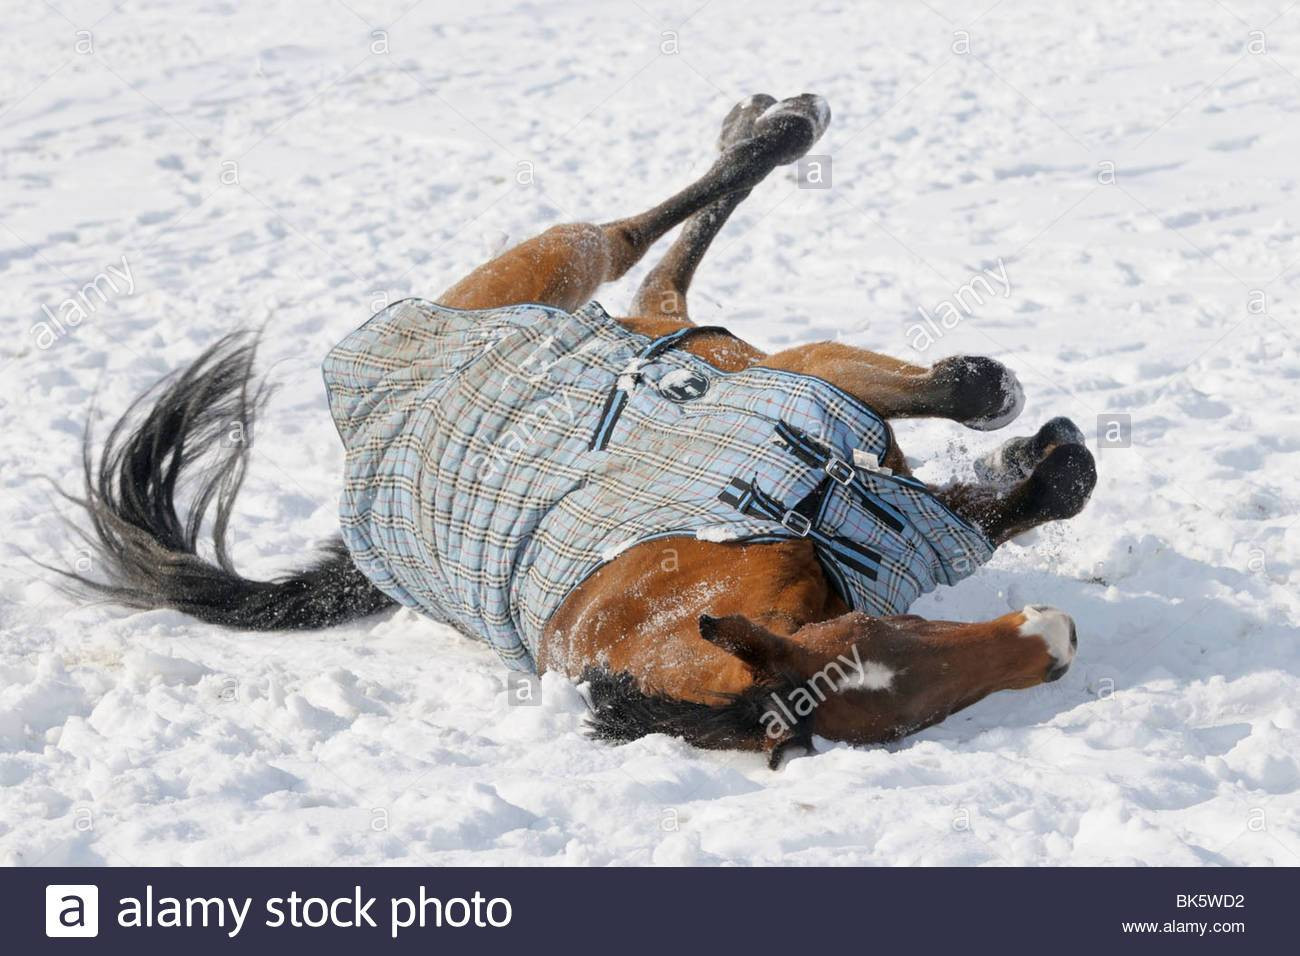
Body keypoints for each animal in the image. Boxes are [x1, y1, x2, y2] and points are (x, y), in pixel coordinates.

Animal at [63, 95, 1097, 770]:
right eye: (904, 660)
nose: (1057, 640)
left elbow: (1017, 474)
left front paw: (1020, 436)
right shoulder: (807, 380)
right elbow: (1022, 457)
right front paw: (1024, 428)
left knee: (658, 276)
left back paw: (766, 124)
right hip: (552, 267)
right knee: (625, 243)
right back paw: (781, 126)